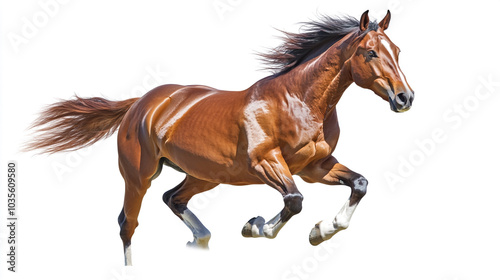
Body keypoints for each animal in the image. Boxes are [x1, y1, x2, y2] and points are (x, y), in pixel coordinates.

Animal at [24, 9, 414, 266]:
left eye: (397, 51)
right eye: (370, 52)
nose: (405, 98)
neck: (299, 101)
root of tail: (141, 103)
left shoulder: (316, 167)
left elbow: (359, 184)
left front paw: (323, 230)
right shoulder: (266, 164)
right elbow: (294, 201)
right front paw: (254, 226)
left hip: (204, 175)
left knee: (172, 198)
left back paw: (200, 241)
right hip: (138, 176)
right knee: (127, 224)